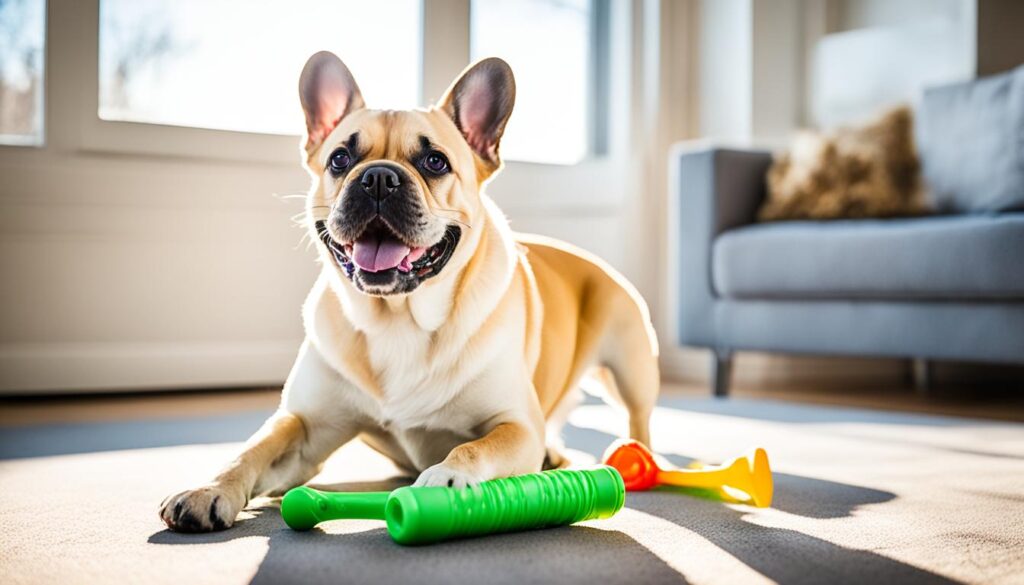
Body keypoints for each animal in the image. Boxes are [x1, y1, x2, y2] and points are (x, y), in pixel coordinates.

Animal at [158, 52, 655, 532]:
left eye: (435, 162)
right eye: (339, 159)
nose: (378, 177)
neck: (397, 316)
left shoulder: (516, 427)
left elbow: (475, 447)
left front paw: (447, 478)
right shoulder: (305, 426)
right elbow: (252, 448)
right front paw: (209, 489)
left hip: (629, 368)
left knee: (639, 420)